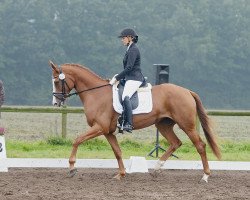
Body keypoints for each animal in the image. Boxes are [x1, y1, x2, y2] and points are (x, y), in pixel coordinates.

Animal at [48, 61, 221, 183]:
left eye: (56, 82)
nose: (55, 103)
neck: (96, 94)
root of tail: (187, 91)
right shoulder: (107, 131)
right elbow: (117, 152)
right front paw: (121, 174)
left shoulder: (99, 127)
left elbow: (77, 140)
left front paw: (72, 168)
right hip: (163, 125)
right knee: (175, 143)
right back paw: (157, 168)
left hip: (187, 125)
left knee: (200, 146)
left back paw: (205, 176)